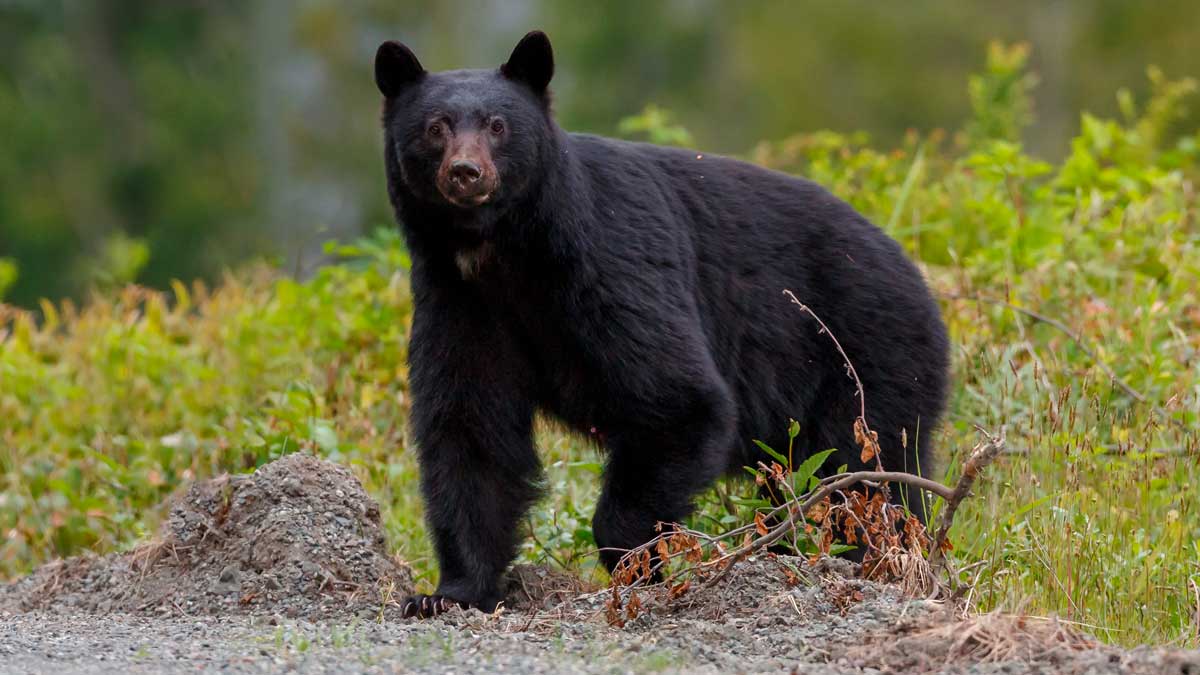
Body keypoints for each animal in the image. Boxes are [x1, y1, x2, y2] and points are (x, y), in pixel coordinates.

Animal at [374, 32, 945, 619]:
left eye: (497, 125)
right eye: (435, 126)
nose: (466, 173)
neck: (507, 253)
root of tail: (919, 278)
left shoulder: (614, 266)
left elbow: (678, 399)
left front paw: (635, 565)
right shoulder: (460, 301)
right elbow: (471, 431)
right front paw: (449, 593)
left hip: (863, 357)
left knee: (862, 475)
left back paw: (872, 559)